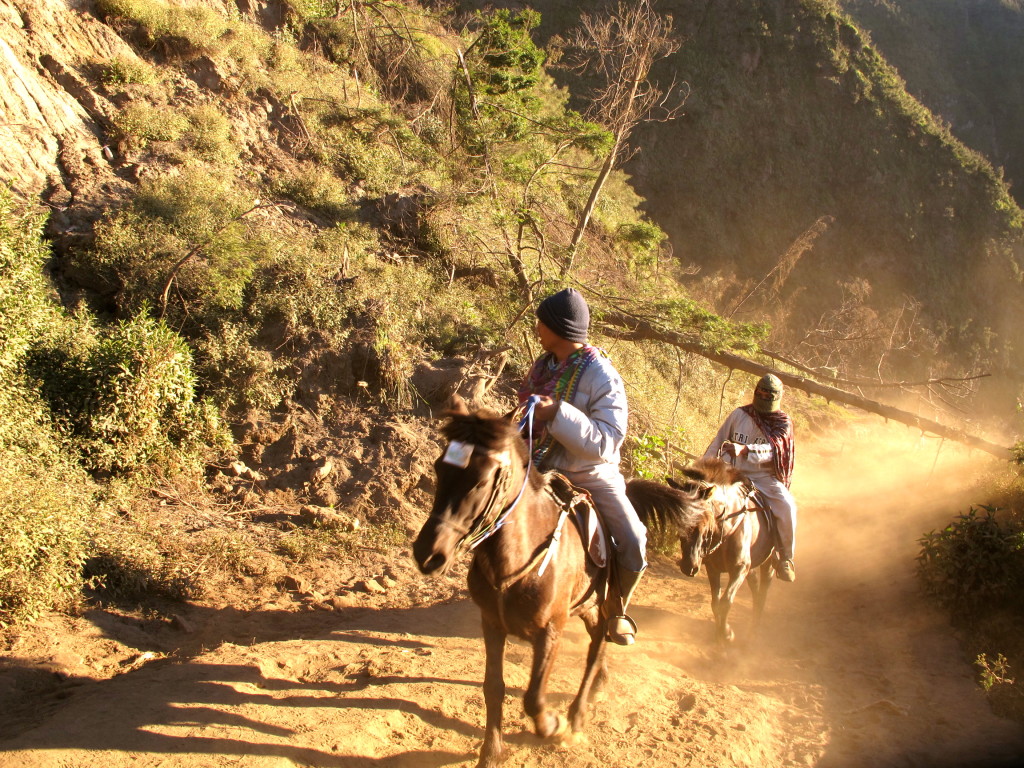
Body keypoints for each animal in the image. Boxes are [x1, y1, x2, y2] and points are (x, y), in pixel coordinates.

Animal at [413, 399, 610, 765]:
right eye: (439, 468)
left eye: (480, 481)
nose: (428, 554)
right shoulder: (492, 623)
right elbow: (493, 687)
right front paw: (491, 752)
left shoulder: (551, 631)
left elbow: (533, 697)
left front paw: (555, 726)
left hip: (603, 607)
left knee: (596, 650)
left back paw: (576, 716)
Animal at [622, 460, 774, 647]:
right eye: (680, 521)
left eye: (705, 522)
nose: (689, 566)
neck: (728, 529)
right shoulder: (714, 569)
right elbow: (716, 603)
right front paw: (719, 634)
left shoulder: (739, 569)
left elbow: (725, 602)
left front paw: (727, 635)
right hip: (752, 566)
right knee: (755, 587)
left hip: (769, 562)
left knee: (763, 590)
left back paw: (754, 629)